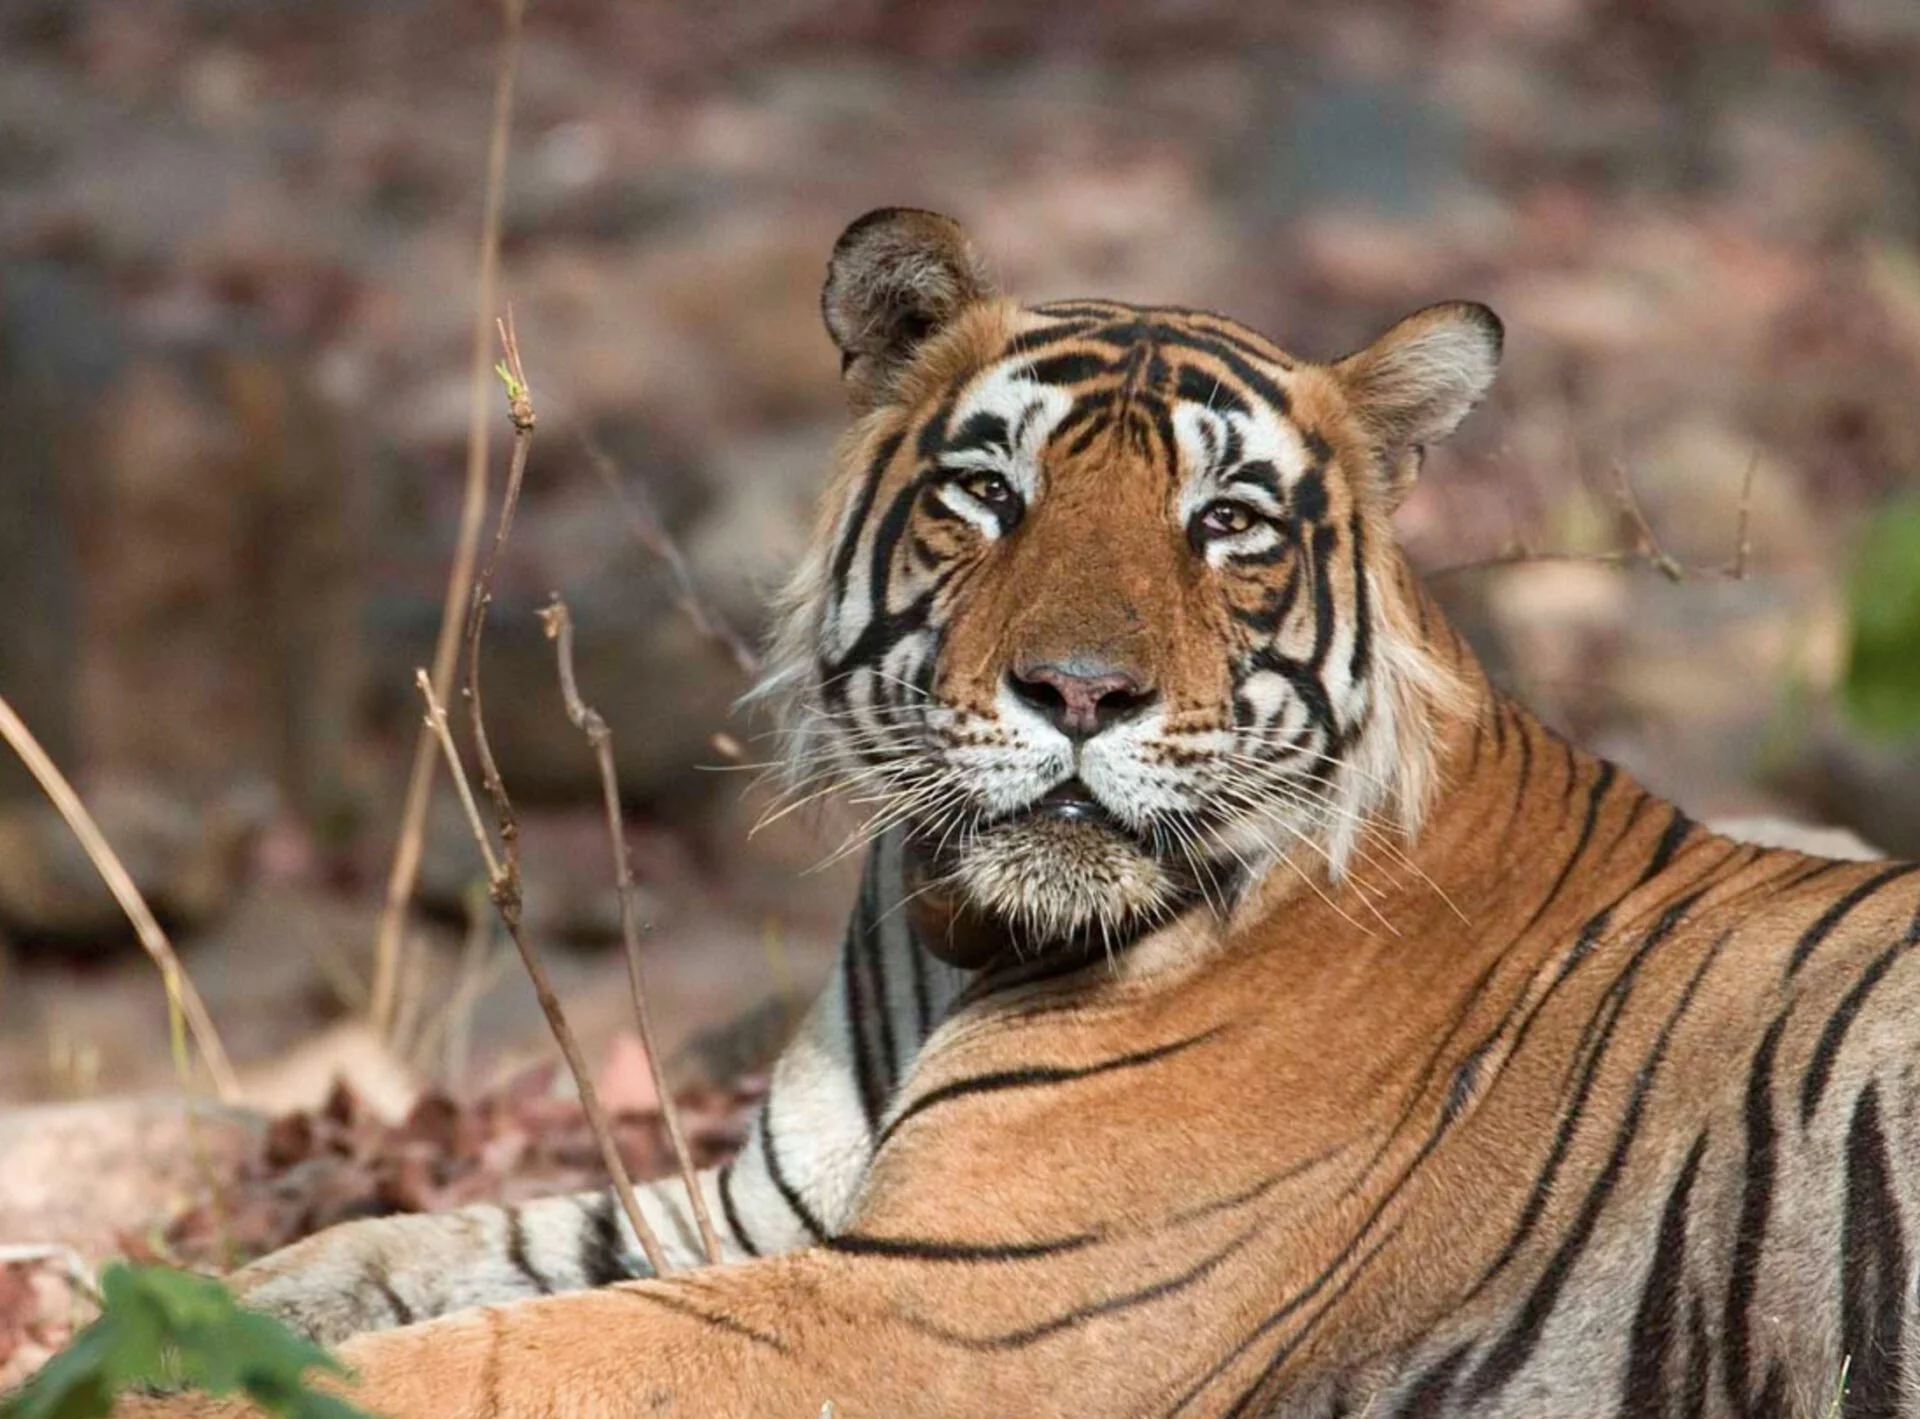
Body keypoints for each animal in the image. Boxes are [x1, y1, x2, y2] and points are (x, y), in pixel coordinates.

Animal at [118, 207, 1920, 1419]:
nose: (1079, 690)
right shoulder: (769, 1211)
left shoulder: (942, 1319)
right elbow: (394, 1249)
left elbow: (476, 1356)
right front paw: (173, 1303)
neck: (958, 937)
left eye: (1228, 518)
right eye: (990, 490)